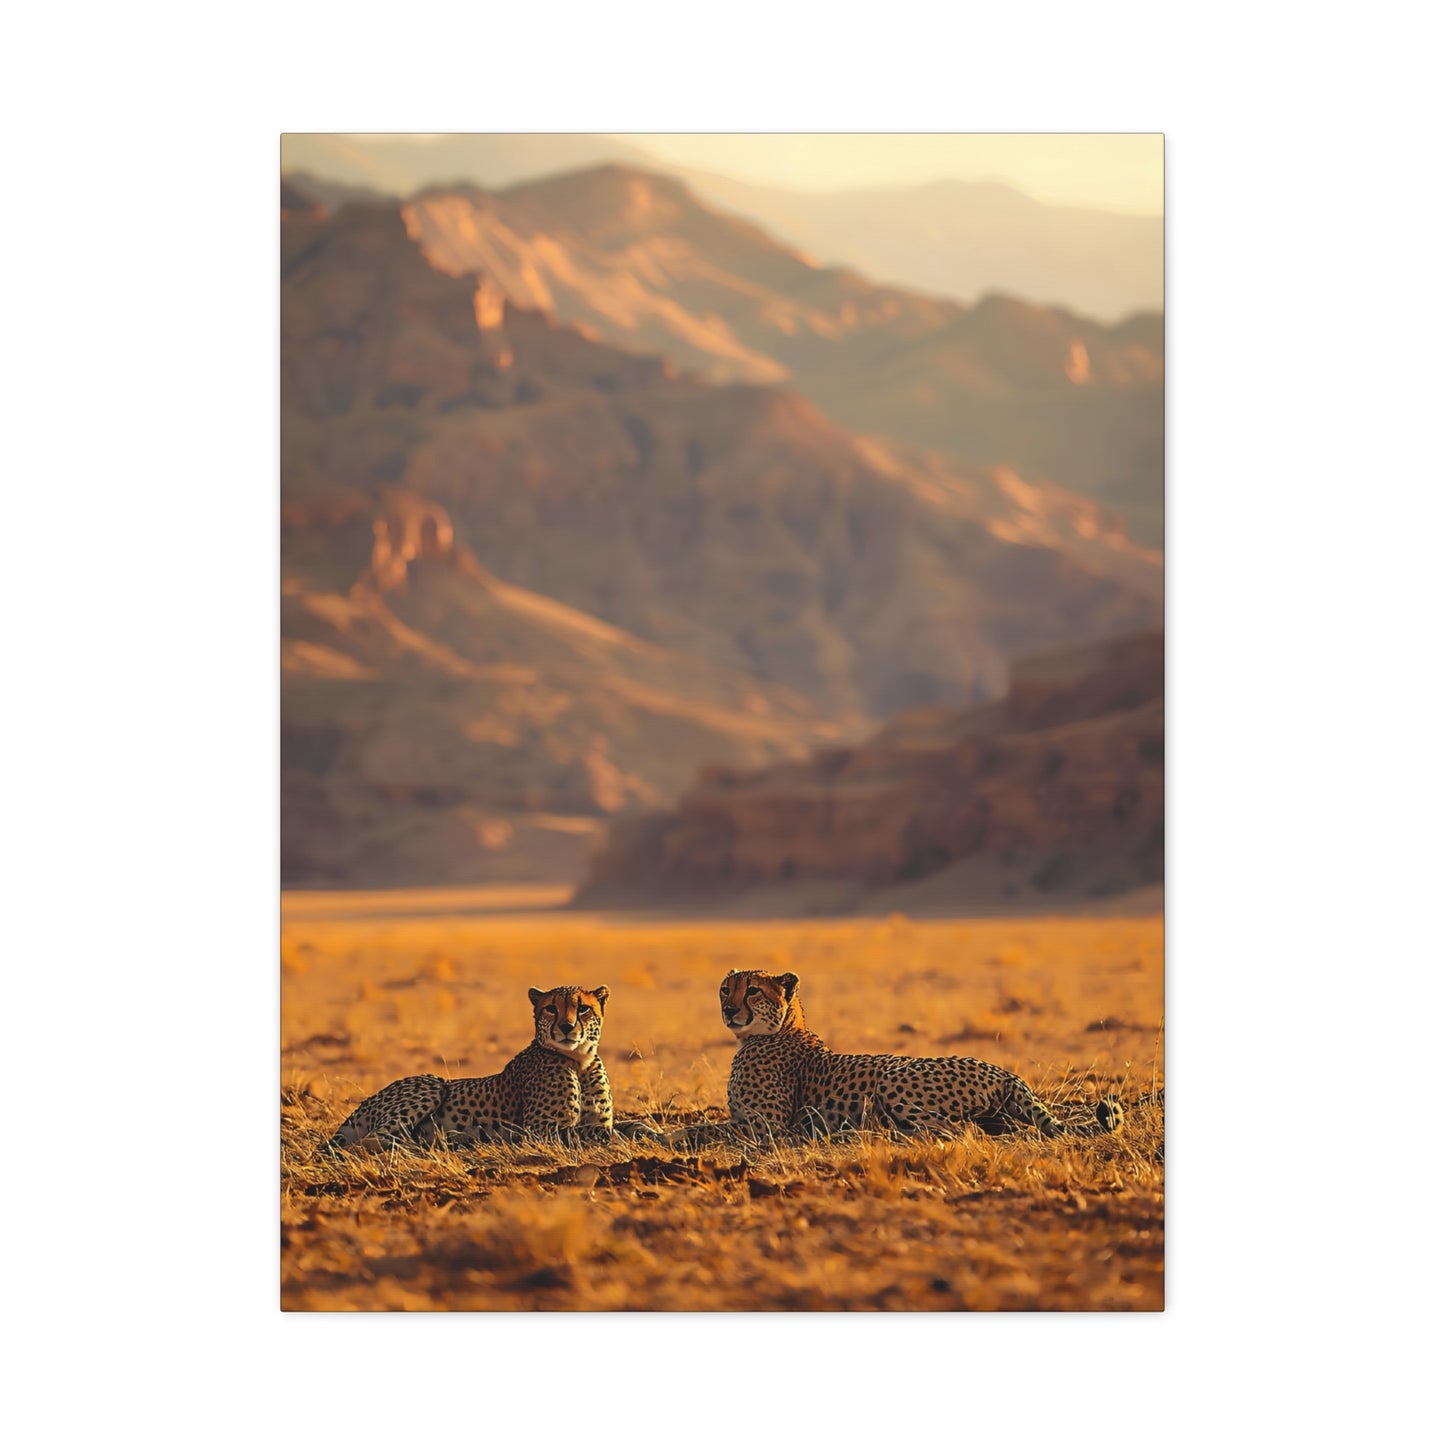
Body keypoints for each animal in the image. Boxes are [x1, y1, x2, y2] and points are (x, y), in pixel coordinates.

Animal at [326, 985, 613, 1149]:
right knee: (371, 1140)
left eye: (583, 1008)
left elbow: (610, 1128)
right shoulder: (541, 1129)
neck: (579, 1061)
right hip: (431, 1084)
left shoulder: (591, 1121)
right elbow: (591, 1133)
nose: (566, 1027)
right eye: (552, 1009)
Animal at [719, 969, 1124, 1142]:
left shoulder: (765, 1126)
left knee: (959, 1130)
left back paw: (871, 1133)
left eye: (752, 990)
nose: (729, 1010)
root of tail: (1003, 1071)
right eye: (726, 988)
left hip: (893, 1076)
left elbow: (710, 1129)